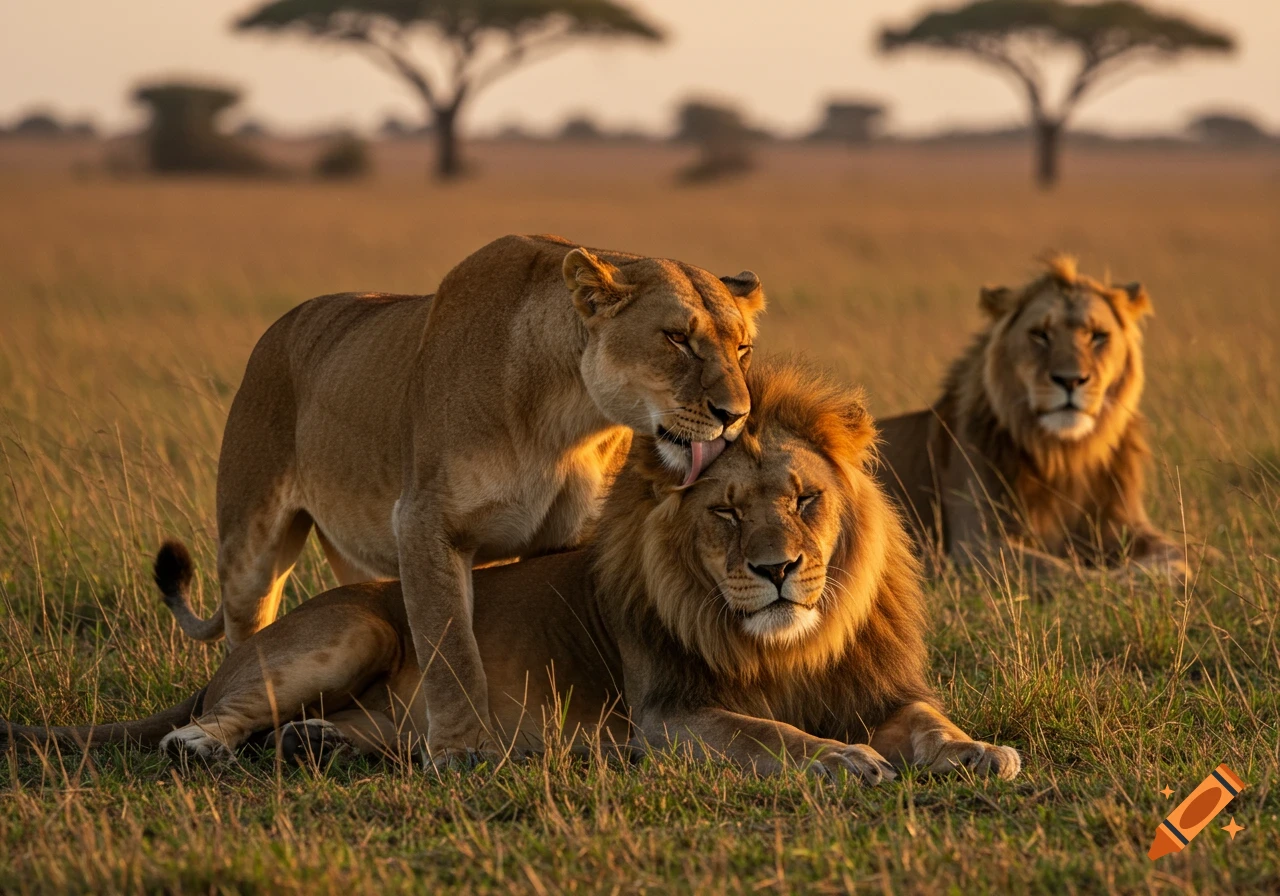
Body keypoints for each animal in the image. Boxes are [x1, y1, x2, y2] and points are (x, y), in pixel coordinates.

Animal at [4, 360, 1019, 784]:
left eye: (805, 498)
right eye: (726, 512)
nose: (777, 571)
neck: (792, 642)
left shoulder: (883, 688)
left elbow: (929, 725)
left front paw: (979, 752)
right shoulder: (670, 716)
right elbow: (771, 735)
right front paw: (841, 758)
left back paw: (324, 746)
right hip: (352, 625)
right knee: (216, 718)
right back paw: (207, 746)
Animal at [166, 234, 764, 760]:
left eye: (743, 348)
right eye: (676, 339)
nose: (736, 416)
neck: (567, 419)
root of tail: (281, 325)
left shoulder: (564, 536)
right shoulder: (425, 522)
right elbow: (450, 646)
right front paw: (461, 750)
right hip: (249, 550)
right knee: (246, 647)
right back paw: (203, 741)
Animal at [876, 256, 1190, 581]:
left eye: (1098, 336)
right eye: (1040, 334)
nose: (1070, 380)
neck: (1066, 457)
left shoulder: (1127, 524)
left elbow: (1180, 553)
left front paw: (1162, 571)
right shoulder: (976, 544)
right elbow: (1060, 570)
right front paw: (1130, 577)